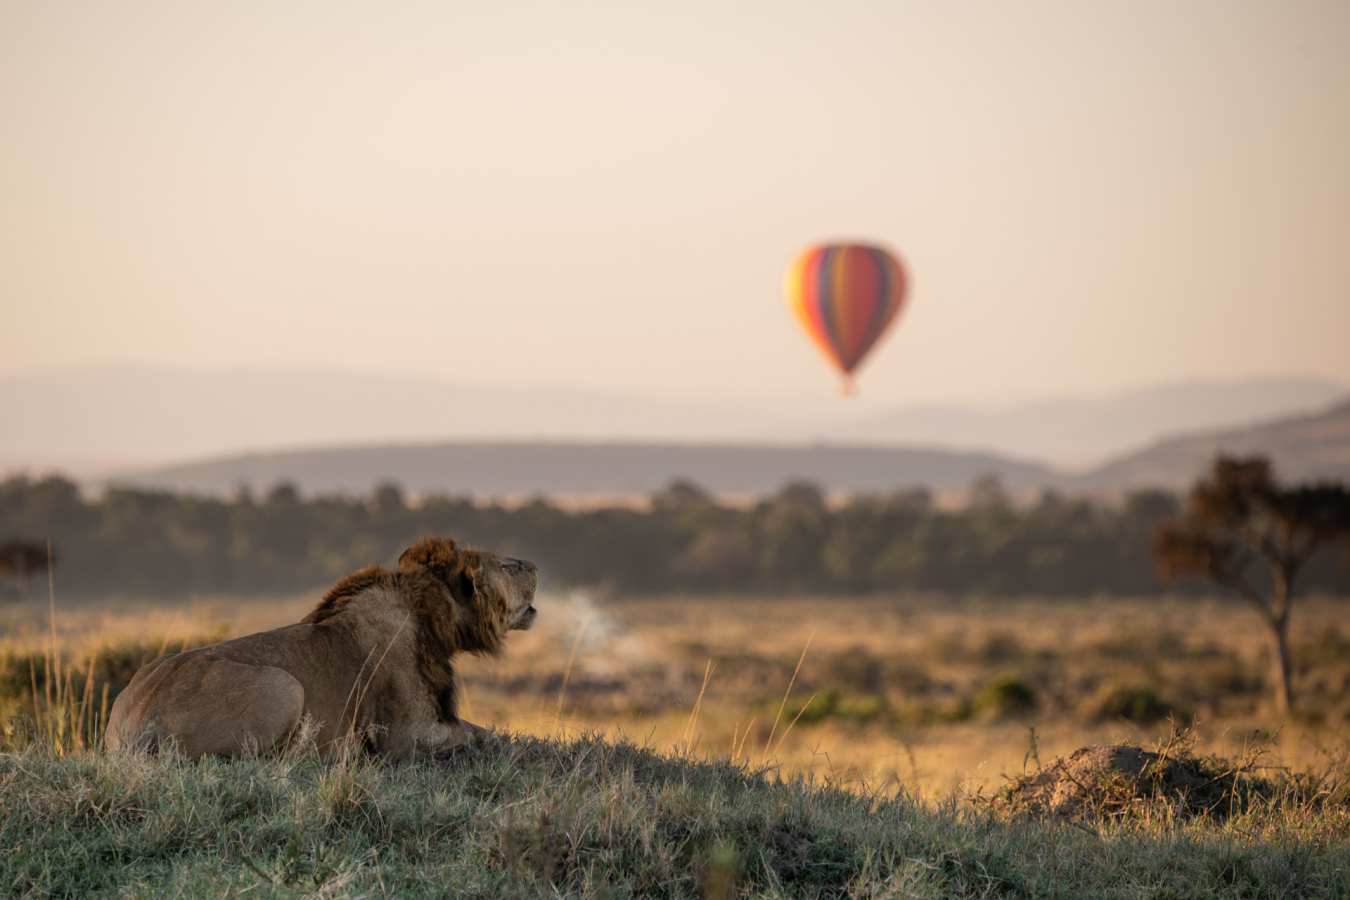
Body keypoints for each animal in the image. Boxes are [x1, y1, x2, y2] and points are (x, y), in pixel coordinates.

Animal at [106, 537, 538, 759]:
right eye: (508, 567)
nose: (533, 564)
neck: (430, 617)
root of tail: (135, 721)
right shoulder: (406, 736)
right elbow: (478, 736)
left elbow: (484, 730)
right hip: (284, 686)